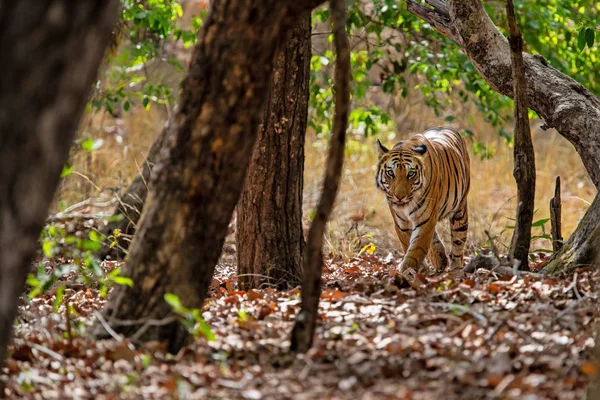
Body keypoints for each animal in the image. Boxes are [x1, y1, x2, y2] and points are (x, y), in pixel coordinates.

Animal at [376, 126, 468, 274]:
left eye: (411, 174)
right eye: (390, 173)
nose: (399, 196)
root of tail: (446, 127)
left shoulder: (426, 219)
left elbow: (416, 249)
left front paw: (406, 271)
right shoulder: (402, 224)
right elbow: (409, 245)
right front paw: (421, 269)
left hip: (460, 210)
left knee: (458, 241)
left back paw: (455, 268)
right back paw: (440, 260)